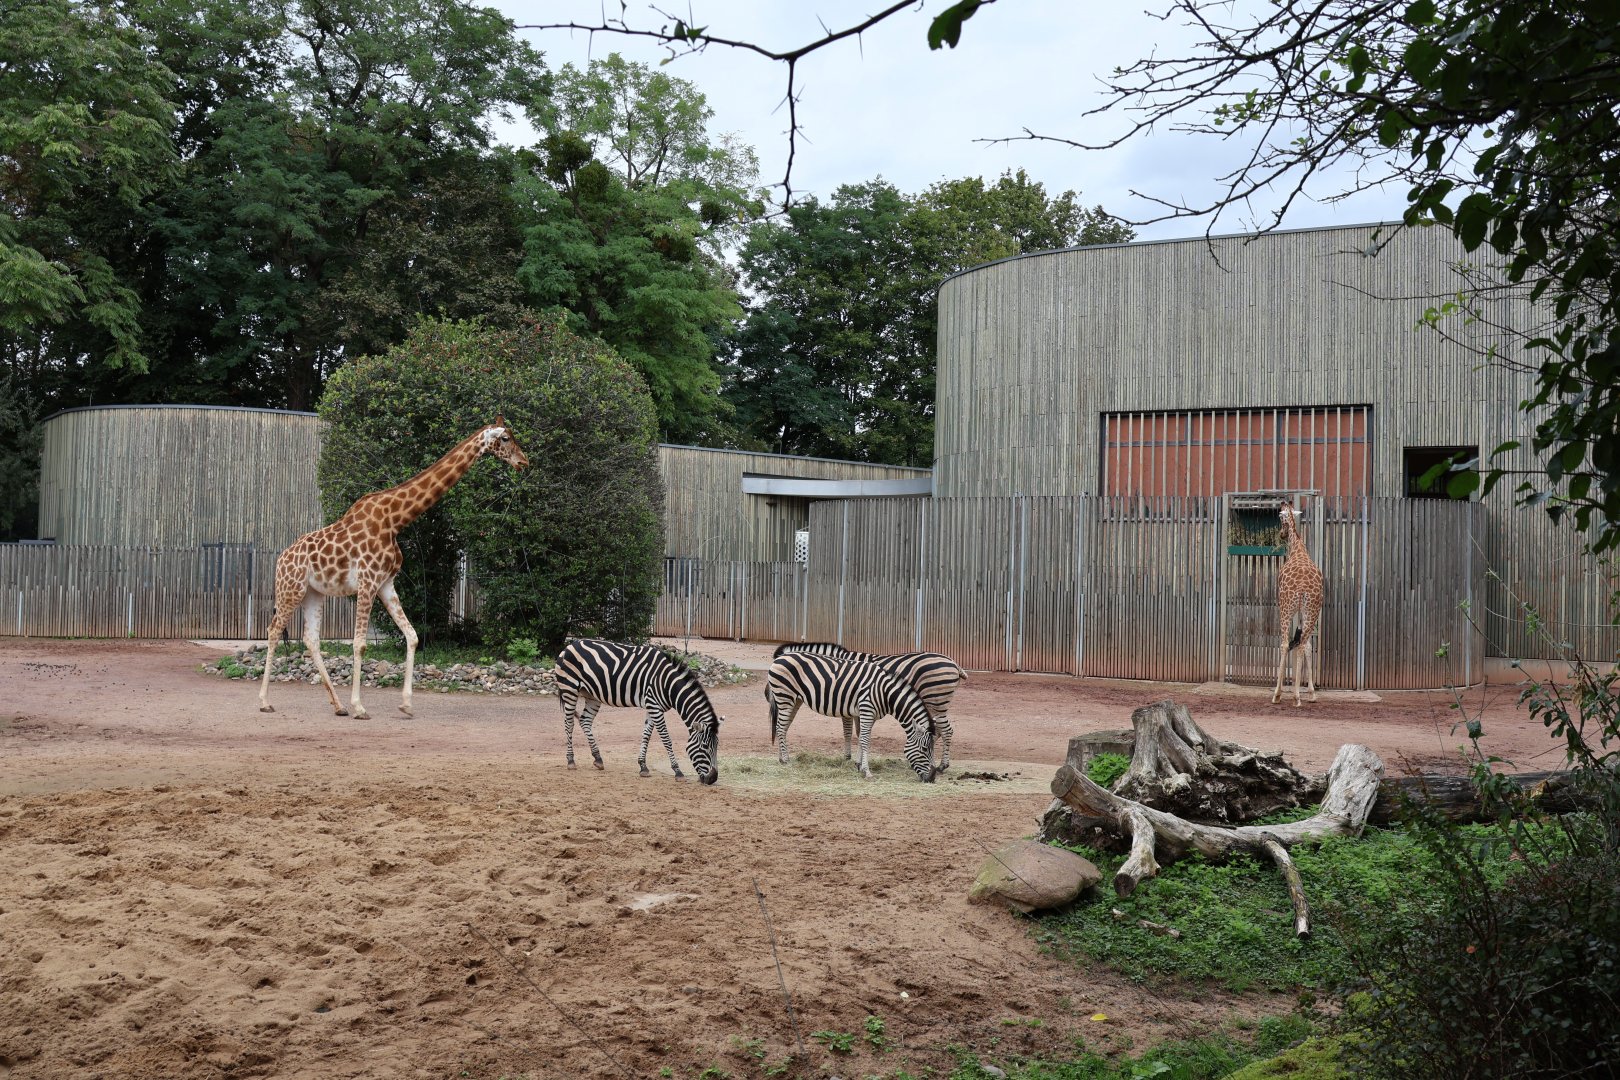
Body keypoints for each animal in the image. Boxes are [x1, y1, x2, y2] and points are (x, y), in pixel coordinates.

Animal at [256, 418, 529, 719]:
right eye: (505, 438)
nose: (524, 461)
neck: (395, 520)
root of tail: (281, 558)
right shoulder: (367, 581)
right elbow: (360, 643)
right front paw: (360, 706)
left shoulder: (386, 583)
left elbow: (412, 636)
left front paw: (406, 704)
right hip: (290, 589)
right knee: (273, 631)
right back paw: (265, 701)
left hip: (314, 593)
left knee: (311, 639)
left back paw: (338, 706)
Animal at [554, 639, 721, 785]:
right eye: (704, 747)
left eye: (717, 746)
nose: (713, 779)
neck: (667, 683)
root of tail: (569, 646)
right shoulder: (654, 706)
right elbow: (666, 739)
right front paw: (678, 771)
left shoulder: (653, 707)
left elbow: (646, 735)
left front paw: (643, 767)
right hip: (569, 689)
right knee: (569, 724)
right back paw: (571, 760)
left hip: (591, 695)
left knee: (585, 720)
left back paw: (598, 758)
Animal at [765, 653, 935, 782]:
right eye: (925, 749)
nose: (932, 778)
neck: (885, 692)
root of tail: (780, 657)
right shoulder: (867, 710)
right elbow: (865, 740)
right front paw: (867, 771)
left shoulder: (869, 714)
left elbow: (861, 738)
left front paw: (859, 766)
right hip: (785, 697)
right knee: (780, 727)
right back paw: (786, 760)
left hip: (795, 700)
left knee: (783, 727)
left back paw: (782, 758)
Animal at [772, 642, 966, 771]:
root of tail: (953, 663)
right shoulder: (856, 707)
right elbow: (859, 733)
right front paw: (857, 761)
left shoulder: (846, 703)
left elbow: (849, 732)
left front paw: (849, 757)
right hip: (936, 704)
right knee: (939, 731)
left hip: (936, 702)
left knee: (946, 730)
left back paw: (942, 765)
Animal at [1271, 501, 1324, 707]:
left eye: (1279, 516)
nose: (1281, 534)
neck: (1298, 548)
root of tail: (1302, 588)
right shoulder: (1304, 613)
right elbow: (1307, 646)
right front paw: (1311, 692)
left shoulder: (1283, 604)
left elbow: (1288, 644)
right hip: (1312, 609)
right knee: (1302, 645)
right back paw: (1299, 696)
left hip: (1286, 607)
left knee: (1285, 643)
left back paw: (1279, 695)